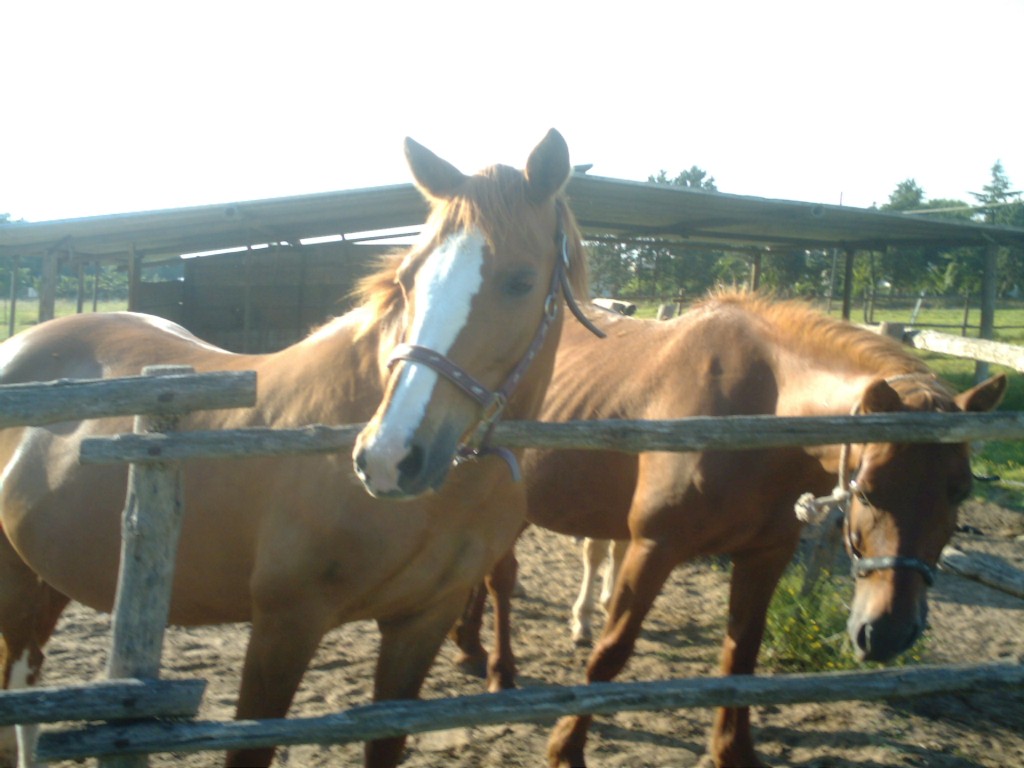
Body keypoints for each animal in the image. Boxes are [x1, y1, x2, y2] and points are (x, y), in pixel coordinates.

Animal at [0, 131, 593, 768]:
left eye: (520, 281)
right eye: (408, 277)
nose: (388, 457)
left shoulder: (420, 624)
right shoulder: (283, 628)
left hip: (46, 579)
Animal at [456, 292, 1007, 768]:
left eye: (960, 491)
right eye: (867, 489)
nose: (888, 632)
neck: (758, 411)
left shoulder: (765, 555)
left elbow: (741, 655)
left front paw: (732, 752)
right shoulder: (652, 548)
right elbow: (610, 654)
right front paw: (566, 750)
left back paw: (470, 646)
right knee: (500, 580)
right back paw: (500, 672)